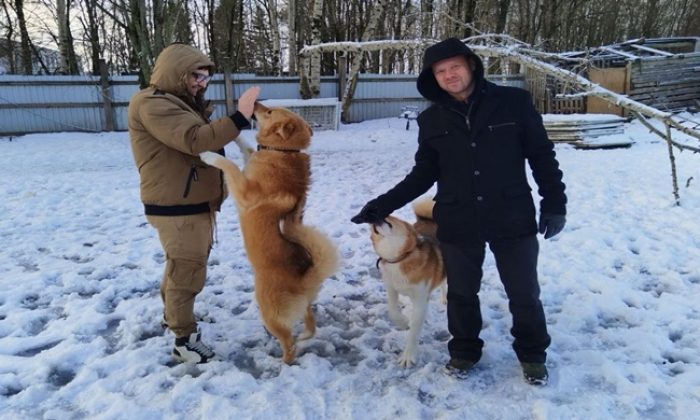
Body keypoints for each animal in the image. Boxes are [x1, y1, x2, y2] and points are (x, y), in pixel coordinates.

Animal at [198, 102, 338, 364]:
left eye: (271, 112)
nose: (254, 103)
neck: (283, 151)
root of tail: (304, 278)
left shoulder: (243, 191)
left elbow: (229, 165)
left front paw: (209, 155)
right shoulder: (250, 162)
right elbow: (247, 148)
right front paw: (236, 134)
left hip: (268, 310)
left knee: (288, 344)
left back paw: (284, 362)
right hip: (303, 306)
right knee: (310, 324)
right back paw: (304, 336)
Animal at [370, 199, 446, 366]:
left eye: (388, 221)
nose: (374, 218)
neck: (400, 258)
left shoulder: (421, 299)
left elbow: (414, 331)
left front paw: (408, 356)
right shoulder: (391, 288)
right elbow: (392, 310)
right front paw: (403, 322)